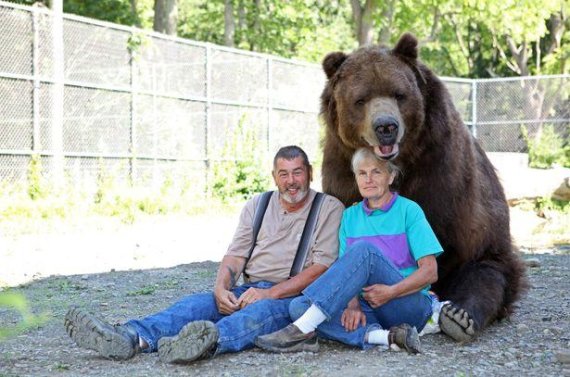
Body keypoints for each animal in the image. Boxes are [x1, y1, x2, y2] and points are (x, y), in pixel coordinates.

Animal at [318, 33, 524, 342]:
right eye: (361, 98)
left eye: (399, 94)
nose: (386, 127)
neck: (400, 163)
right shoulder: (341, 171)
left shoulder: (439, 168)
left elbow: (434, 235)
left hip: (488, 231)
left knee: (487, 272)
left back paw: (460, 315)